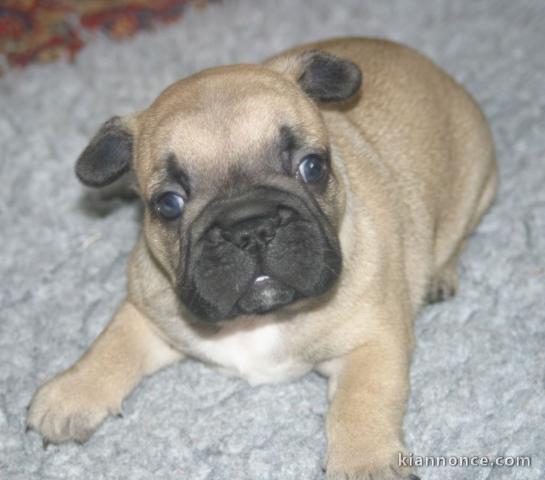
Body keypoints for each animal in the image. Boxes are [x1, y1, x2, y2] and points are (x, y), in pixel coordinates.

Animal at [26, 38, 498, 480]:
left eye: (312, 167)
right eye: (168, 204)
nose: (250, 227)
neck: (259, 319)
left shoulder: (374, 340)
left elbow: (363, 399)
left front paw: (365, 461)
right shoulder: (148, 309)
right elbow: (111, 343)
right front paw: (71, 392)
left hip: (479, 187)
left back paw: (440, 274)